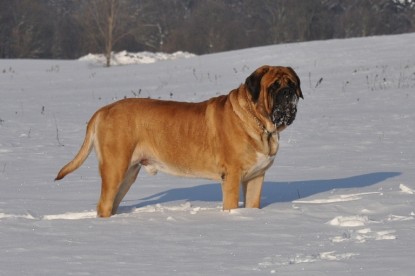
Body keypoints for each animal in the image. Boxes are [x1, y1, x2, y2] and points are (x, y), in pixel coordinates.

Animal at [55, 65, 304, 218]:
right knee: (104, 204)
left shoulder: (256, 177)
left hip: (127, 174)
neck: (261, 125)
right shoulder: (232, 176)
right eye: (274, 86)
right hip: (115, 167)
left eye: (292, 84)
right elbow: (231, 205)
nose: (288, 93)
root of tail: (103, 110)